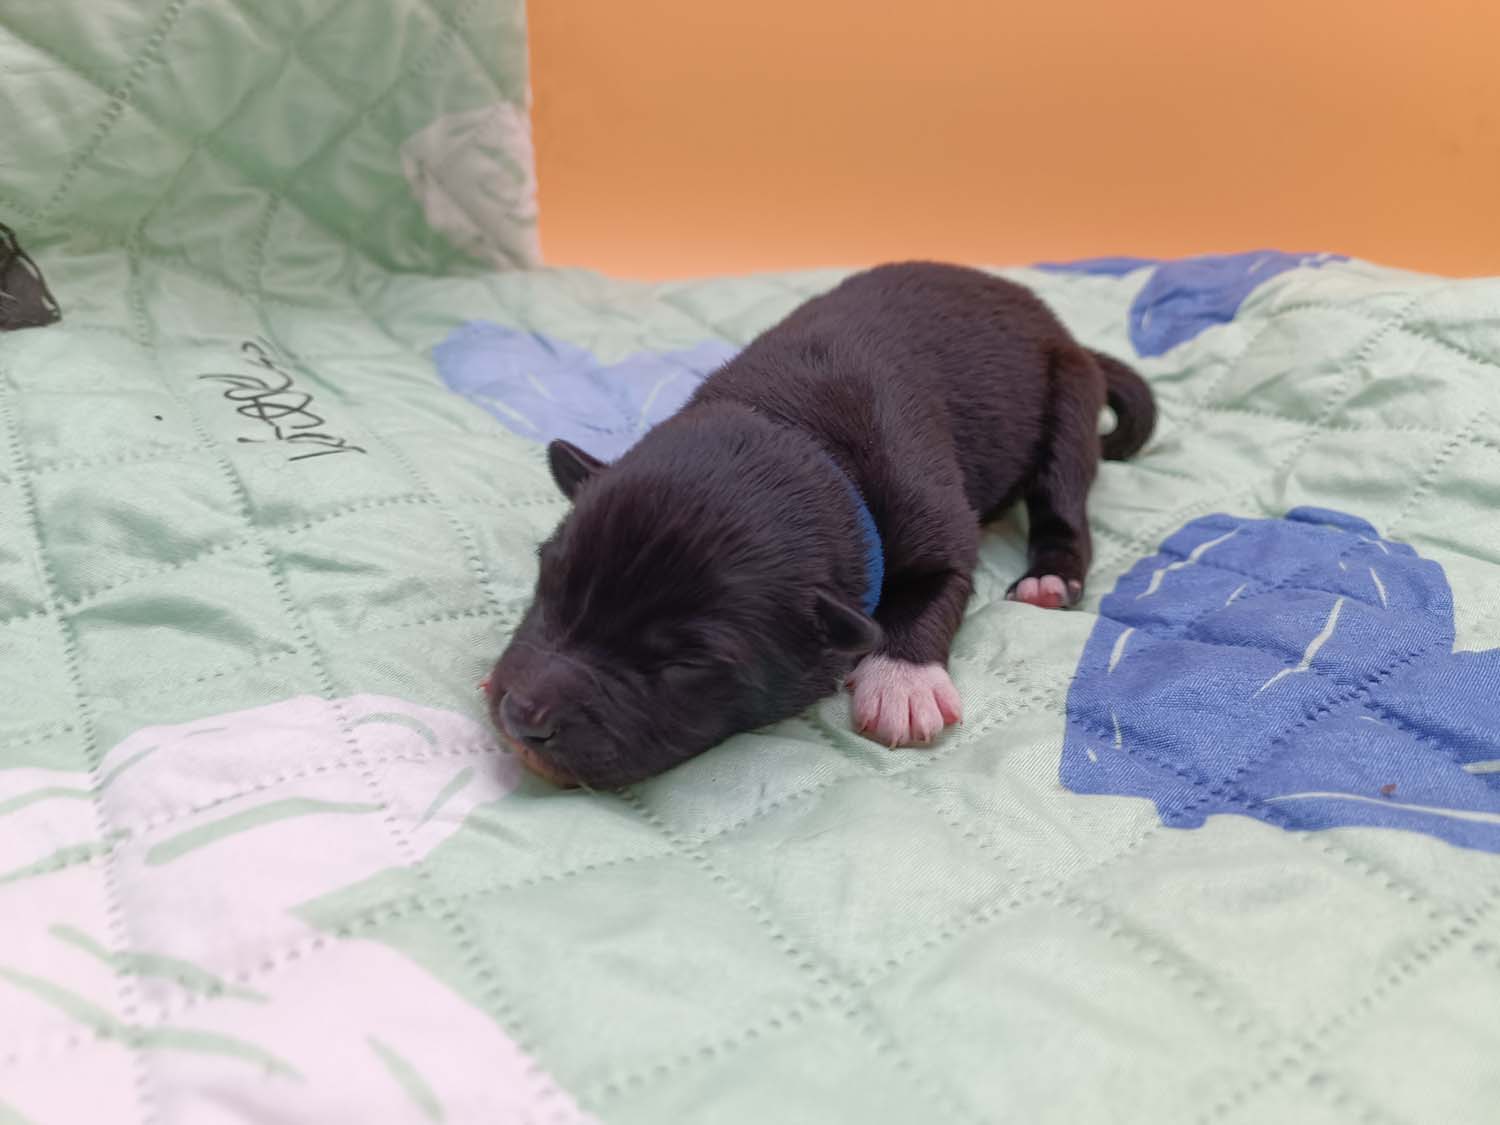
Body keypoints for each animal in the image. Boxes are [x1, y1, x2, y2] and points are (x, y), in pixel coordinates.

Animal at [485, 262, 1155, 787]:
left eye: (685, 666)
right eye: (548, 583)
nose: (522, 717)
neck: (798, 428)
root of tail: (1060, 329)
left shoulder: (939, 528)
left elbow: (934, 593)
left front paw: (902, 684)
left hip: (1067, 396)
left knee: (1063, 498)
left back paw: (1050, 577)